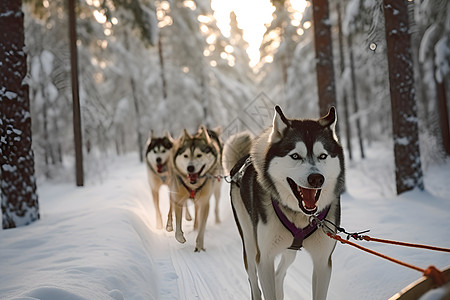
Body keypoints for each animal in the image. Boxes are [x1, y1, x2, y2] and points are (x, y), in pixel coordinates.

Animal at [223, 106, 346, 300]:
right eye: (295, 156)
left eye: (323, 156)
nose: (316, 178)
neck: (300, 216)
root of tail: (241, 162)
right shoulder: (264, 258)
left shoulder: (323, 261)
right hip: (250, 245)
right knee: (254, 284)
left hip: (289, 250)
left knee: (279, 274)